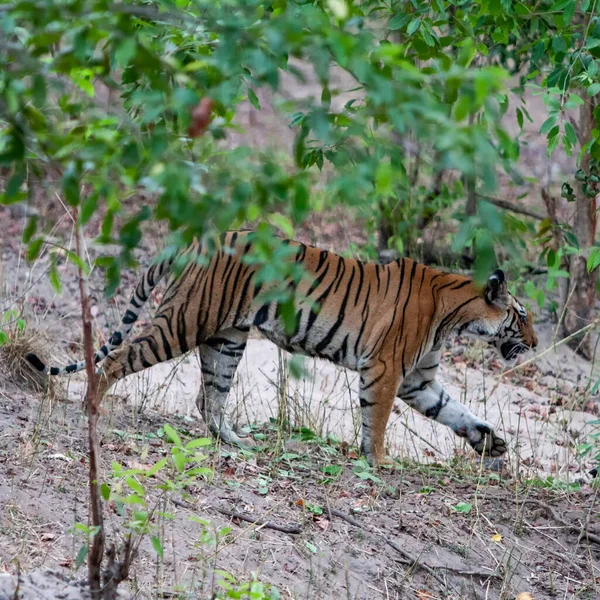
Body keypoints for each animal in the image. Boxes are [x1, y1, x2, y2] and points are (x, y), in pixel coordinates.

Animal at [24, 230, 540, 464]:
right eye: (523, 316)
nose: (535, 345)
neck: (454, 316)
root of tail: (194, 239)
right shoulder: (386, 369)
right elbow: (376, 420)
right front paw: (379, 461)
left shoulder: (419, 381)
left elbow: (455, 410)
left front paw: (490, 441)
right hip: (183, 322)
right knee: (116, 359)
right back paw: (92, 407)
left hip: (227, 340)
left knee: (209, 397)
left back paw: (234, 441)